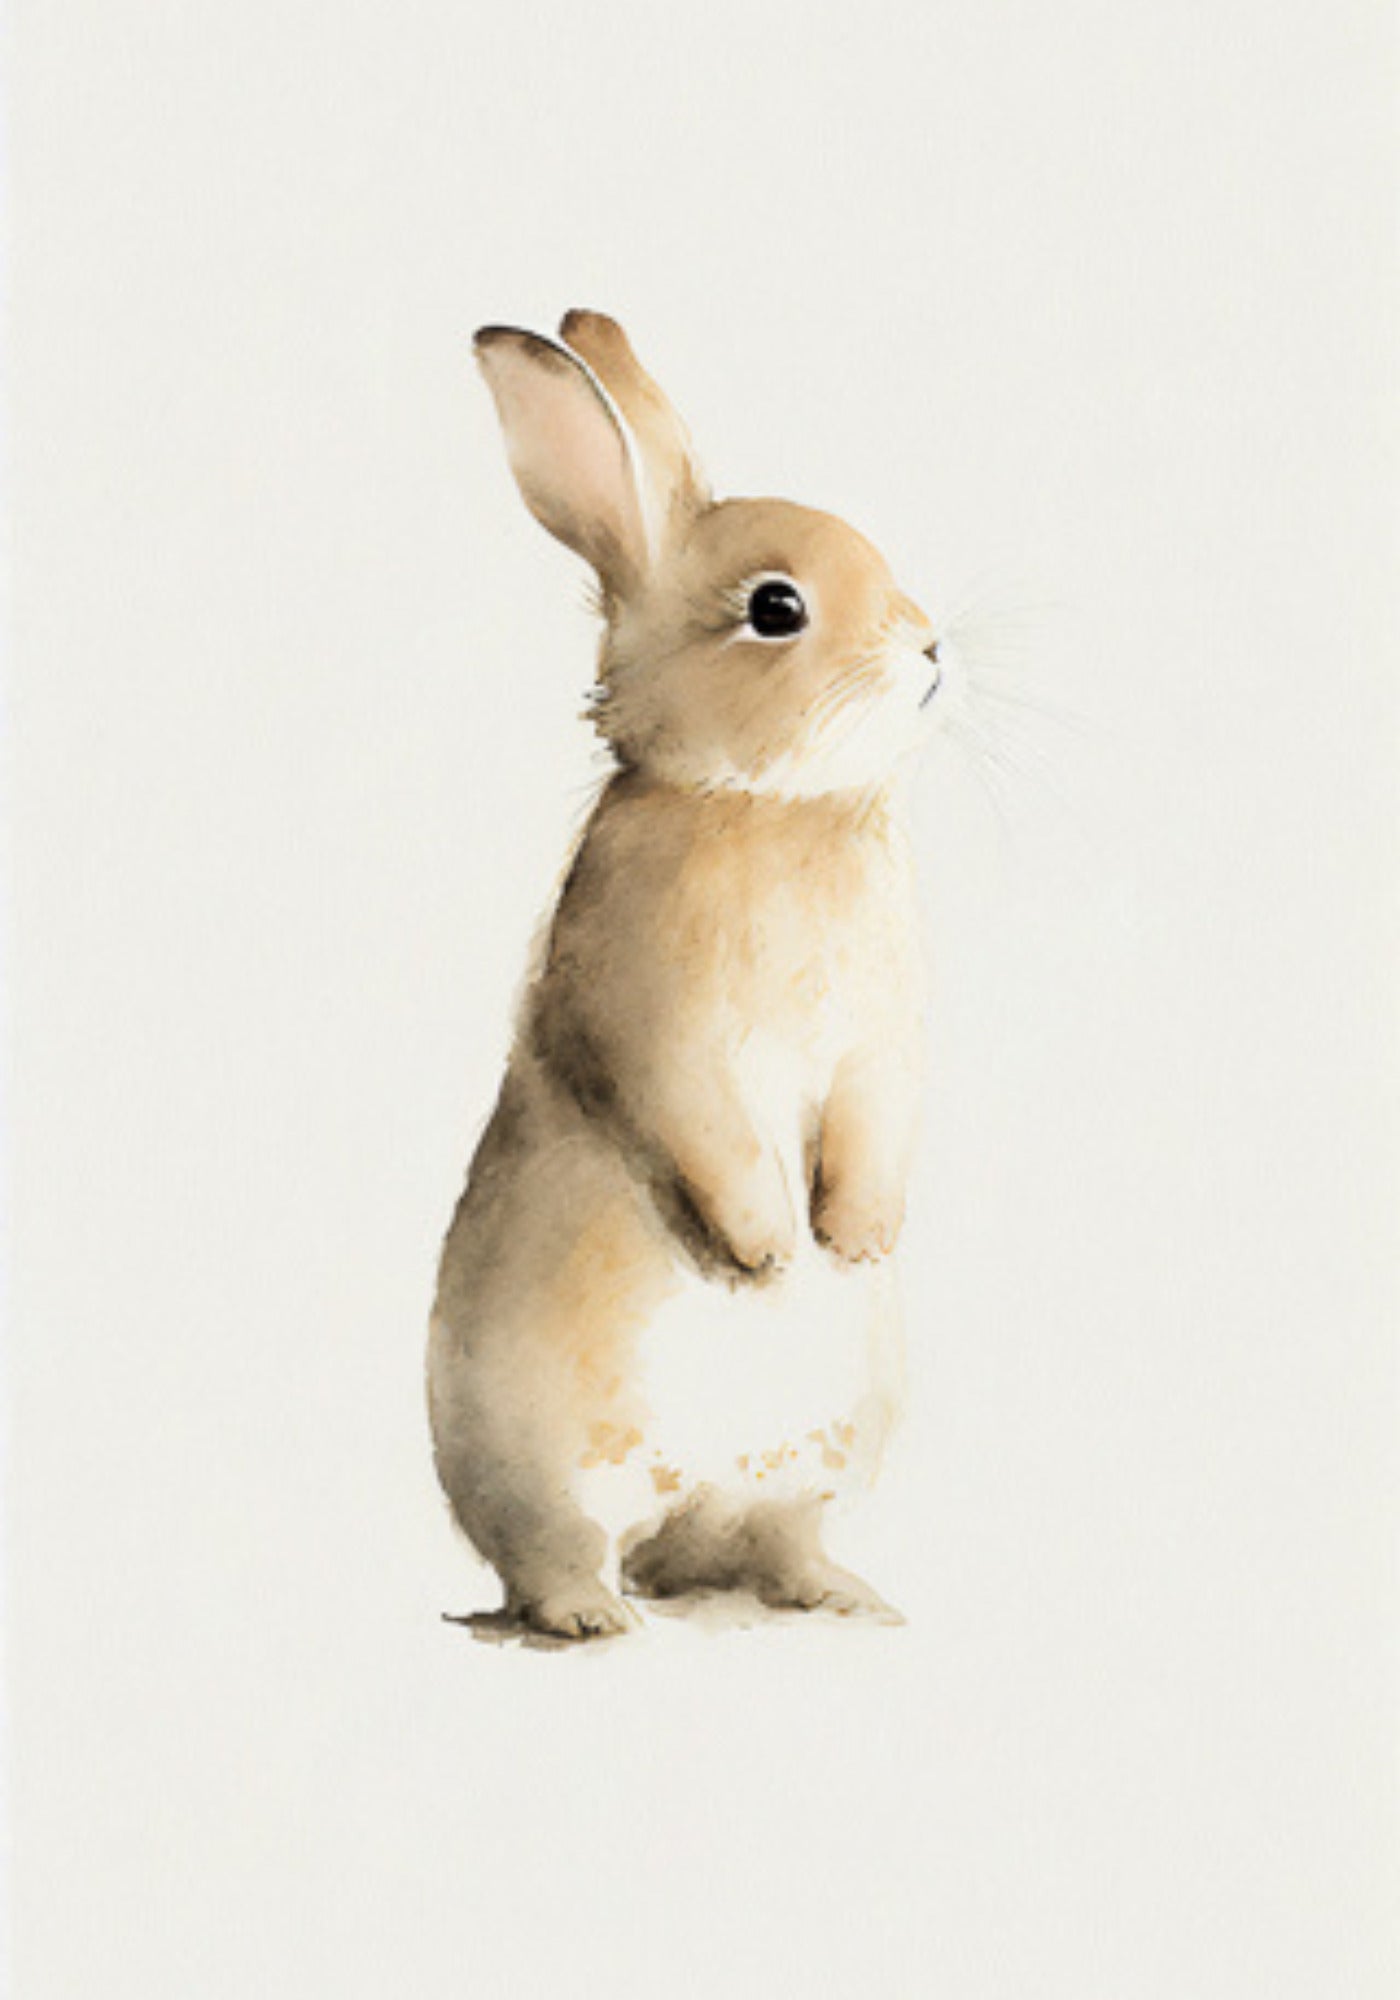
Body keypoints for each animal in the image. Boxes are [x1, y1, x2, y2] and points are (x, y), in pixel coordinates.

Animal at [428, 310, 945, 1640]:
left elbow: (874, 1120)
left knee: (765, 1542)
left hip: (821, 1459)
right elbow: (704, 1129)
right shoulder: (659, 1031)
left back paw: (846, 1598)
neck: (761, 805)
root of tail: (682, 1504)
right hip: (543, 1456)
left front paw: (853, 1238)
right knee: (560, 1550)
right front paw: (768, 1252)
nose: (930, 652)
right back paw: (590, 1619)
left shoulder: (880, 1043)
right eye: (774, 607)